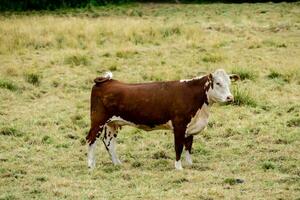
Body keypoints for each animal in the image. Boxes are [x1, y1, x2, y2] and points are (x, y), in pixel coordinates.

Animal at [85, 69, 238, 170]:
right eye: (217, 83)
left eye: (229, 83)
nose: (230, 98)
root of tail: (108, 82)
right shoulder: (179, 125)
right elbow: (179, 147)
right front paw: (178, 167)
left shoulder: (191, 126)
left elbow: (188, 147)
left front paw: (190, 164)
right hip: (98, 121)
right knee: (91, 139)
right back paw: (91, 165)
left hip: (112, 124)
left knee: (109, 142)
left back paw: (117, 164)